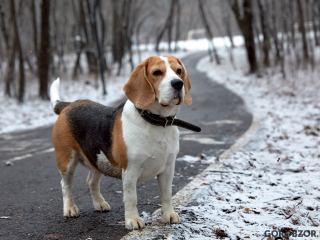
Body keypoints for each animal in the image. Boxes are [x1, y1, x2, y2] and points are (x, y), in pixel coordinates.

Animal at [50, 55, 192, 230]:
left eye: (178, 70)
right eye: (157, 72)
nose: (178, 83)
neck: (157, 123)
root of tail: (68, 105)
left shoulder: (168, 169)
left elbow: (166, 194)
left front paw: (169, 215)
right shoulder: (130, 171)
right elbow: (131, 198)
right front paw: (132, 221)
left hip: (97, 159)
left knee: (91, 182)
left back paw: (99, 203)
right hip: (66, 161)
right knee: (65, 185)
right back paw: (70, 208)